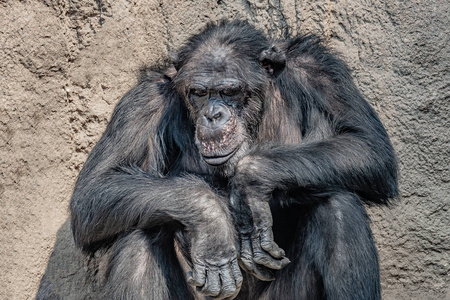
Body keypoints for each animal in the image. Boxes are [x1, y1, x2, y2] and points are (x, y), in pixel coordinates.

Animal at [69, 19, 398, 298]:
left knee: (338, 205)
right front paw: (210, 217)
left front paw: (251, 181)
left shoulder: (320, 71)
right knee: (138, 231)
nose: (213, 115)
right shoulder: (144, 101)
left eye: (230, 92)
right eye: (199, 93)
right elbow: (95, 189)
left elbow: (367, 145)